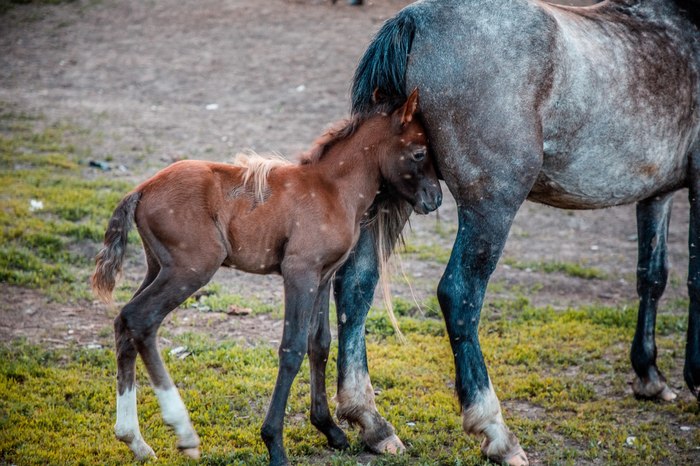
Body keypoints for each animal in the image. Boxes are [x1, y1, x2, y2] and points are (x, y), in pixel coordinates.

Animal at [91, 89, 442, 464]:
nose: (435, 199)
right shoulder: (299, 273)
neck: (332, 189)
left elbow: (319, 343)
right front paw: (274, 443)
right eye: (419, 152)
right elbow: (292, 349)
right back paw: (182, 431)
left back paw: (134, 440)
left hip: (158, 267)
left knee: (124, 323)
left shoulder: (323, 276)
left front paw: (330, 429)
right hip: (191, 269)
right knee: (141, 320)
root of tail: (142, 188)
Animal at [332, 0, 700, 466]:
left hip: (395, 190)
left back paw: (371, 421)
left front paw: (649, 375)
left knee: (356, 284)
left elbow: (653, 276)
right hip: (492, 203)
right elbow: (696, 280)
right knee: (460, 294)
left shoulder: (657, 193)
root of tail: (415, 19)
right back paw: (496, 431)